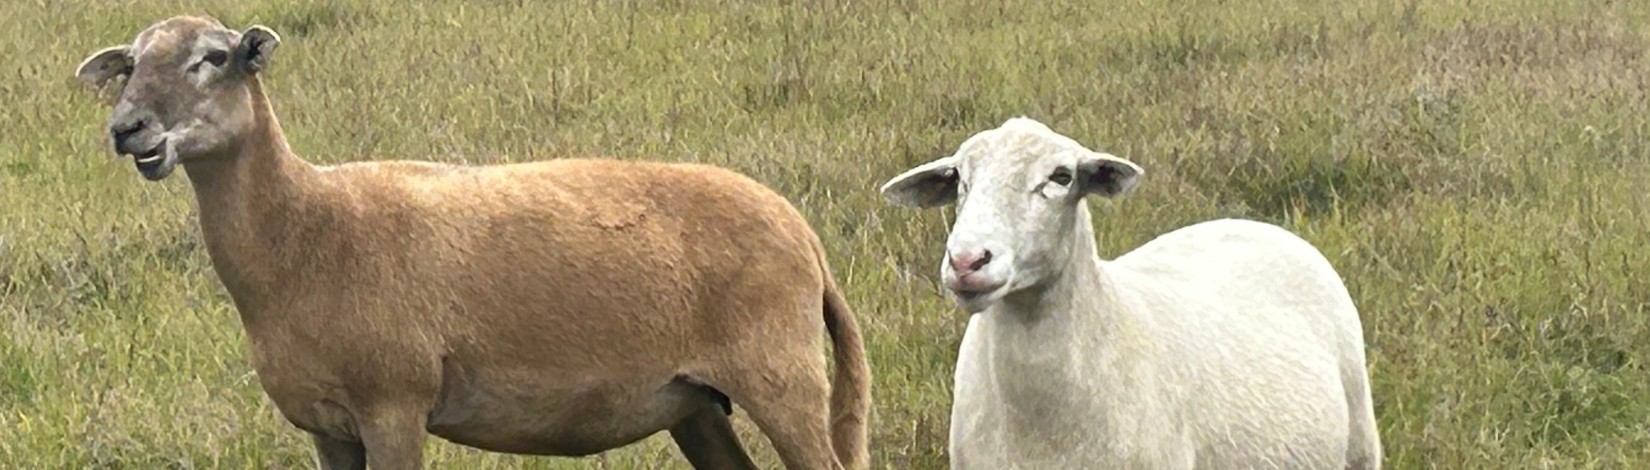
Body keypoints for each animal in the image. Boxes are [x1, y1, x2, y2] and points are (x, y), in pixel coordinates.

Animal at [73, 15, 870, 470]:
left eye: (215, 57)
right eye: (129, 63)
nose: (127, 129)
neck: (304, 233)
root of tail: (804, 235)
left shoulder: (393, 406)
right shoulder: (328, 427)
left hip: (781, 374)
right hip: (693, 403)